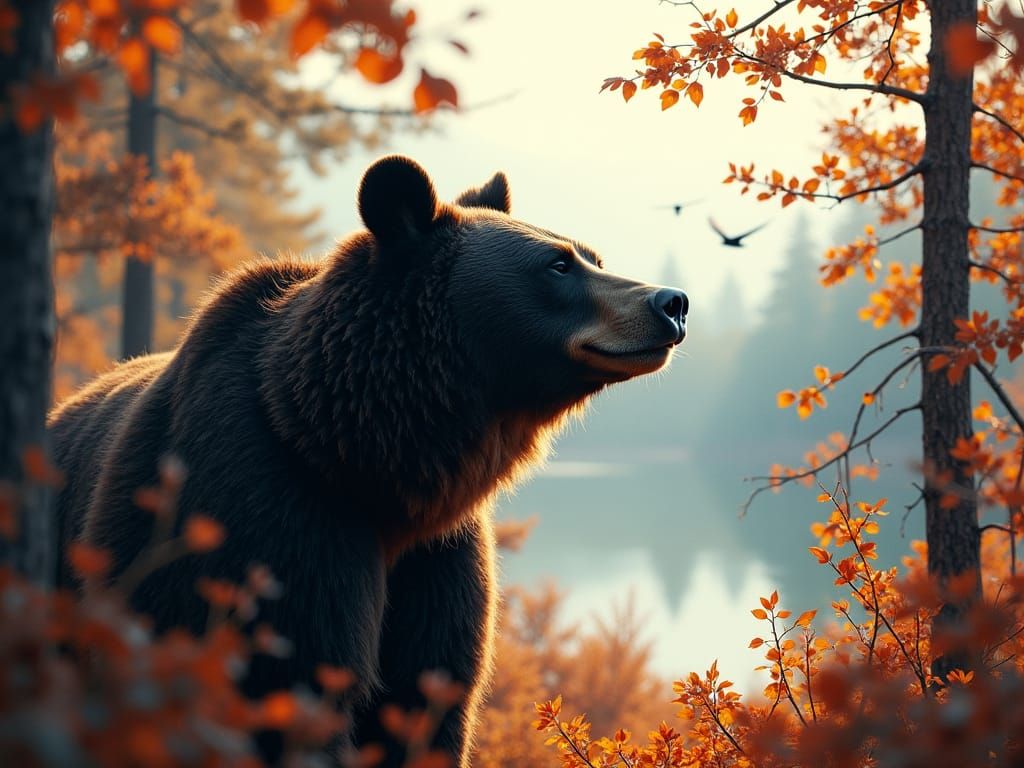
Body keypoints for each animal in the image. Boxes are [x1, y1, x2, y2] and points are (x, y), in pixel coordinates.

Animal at [49, 155, 688, 767]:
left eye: (592, 255)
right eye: (557, 265)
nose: (670, 303)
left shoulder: (438, 565)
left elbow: (426, 699)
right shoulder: (270, 517)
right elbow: (294, 682)